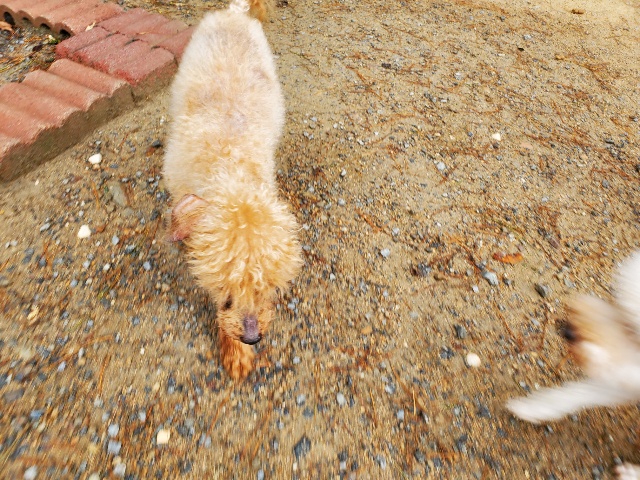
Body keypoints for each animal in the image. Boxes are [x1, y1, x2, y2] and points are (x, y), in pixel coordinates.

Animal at [506, 251, 640, 478]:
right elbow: (580, 392)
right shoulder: (624, 383)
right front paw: (532, 408)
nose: (569, 330)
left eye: (631, 328)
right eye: (616, 303)